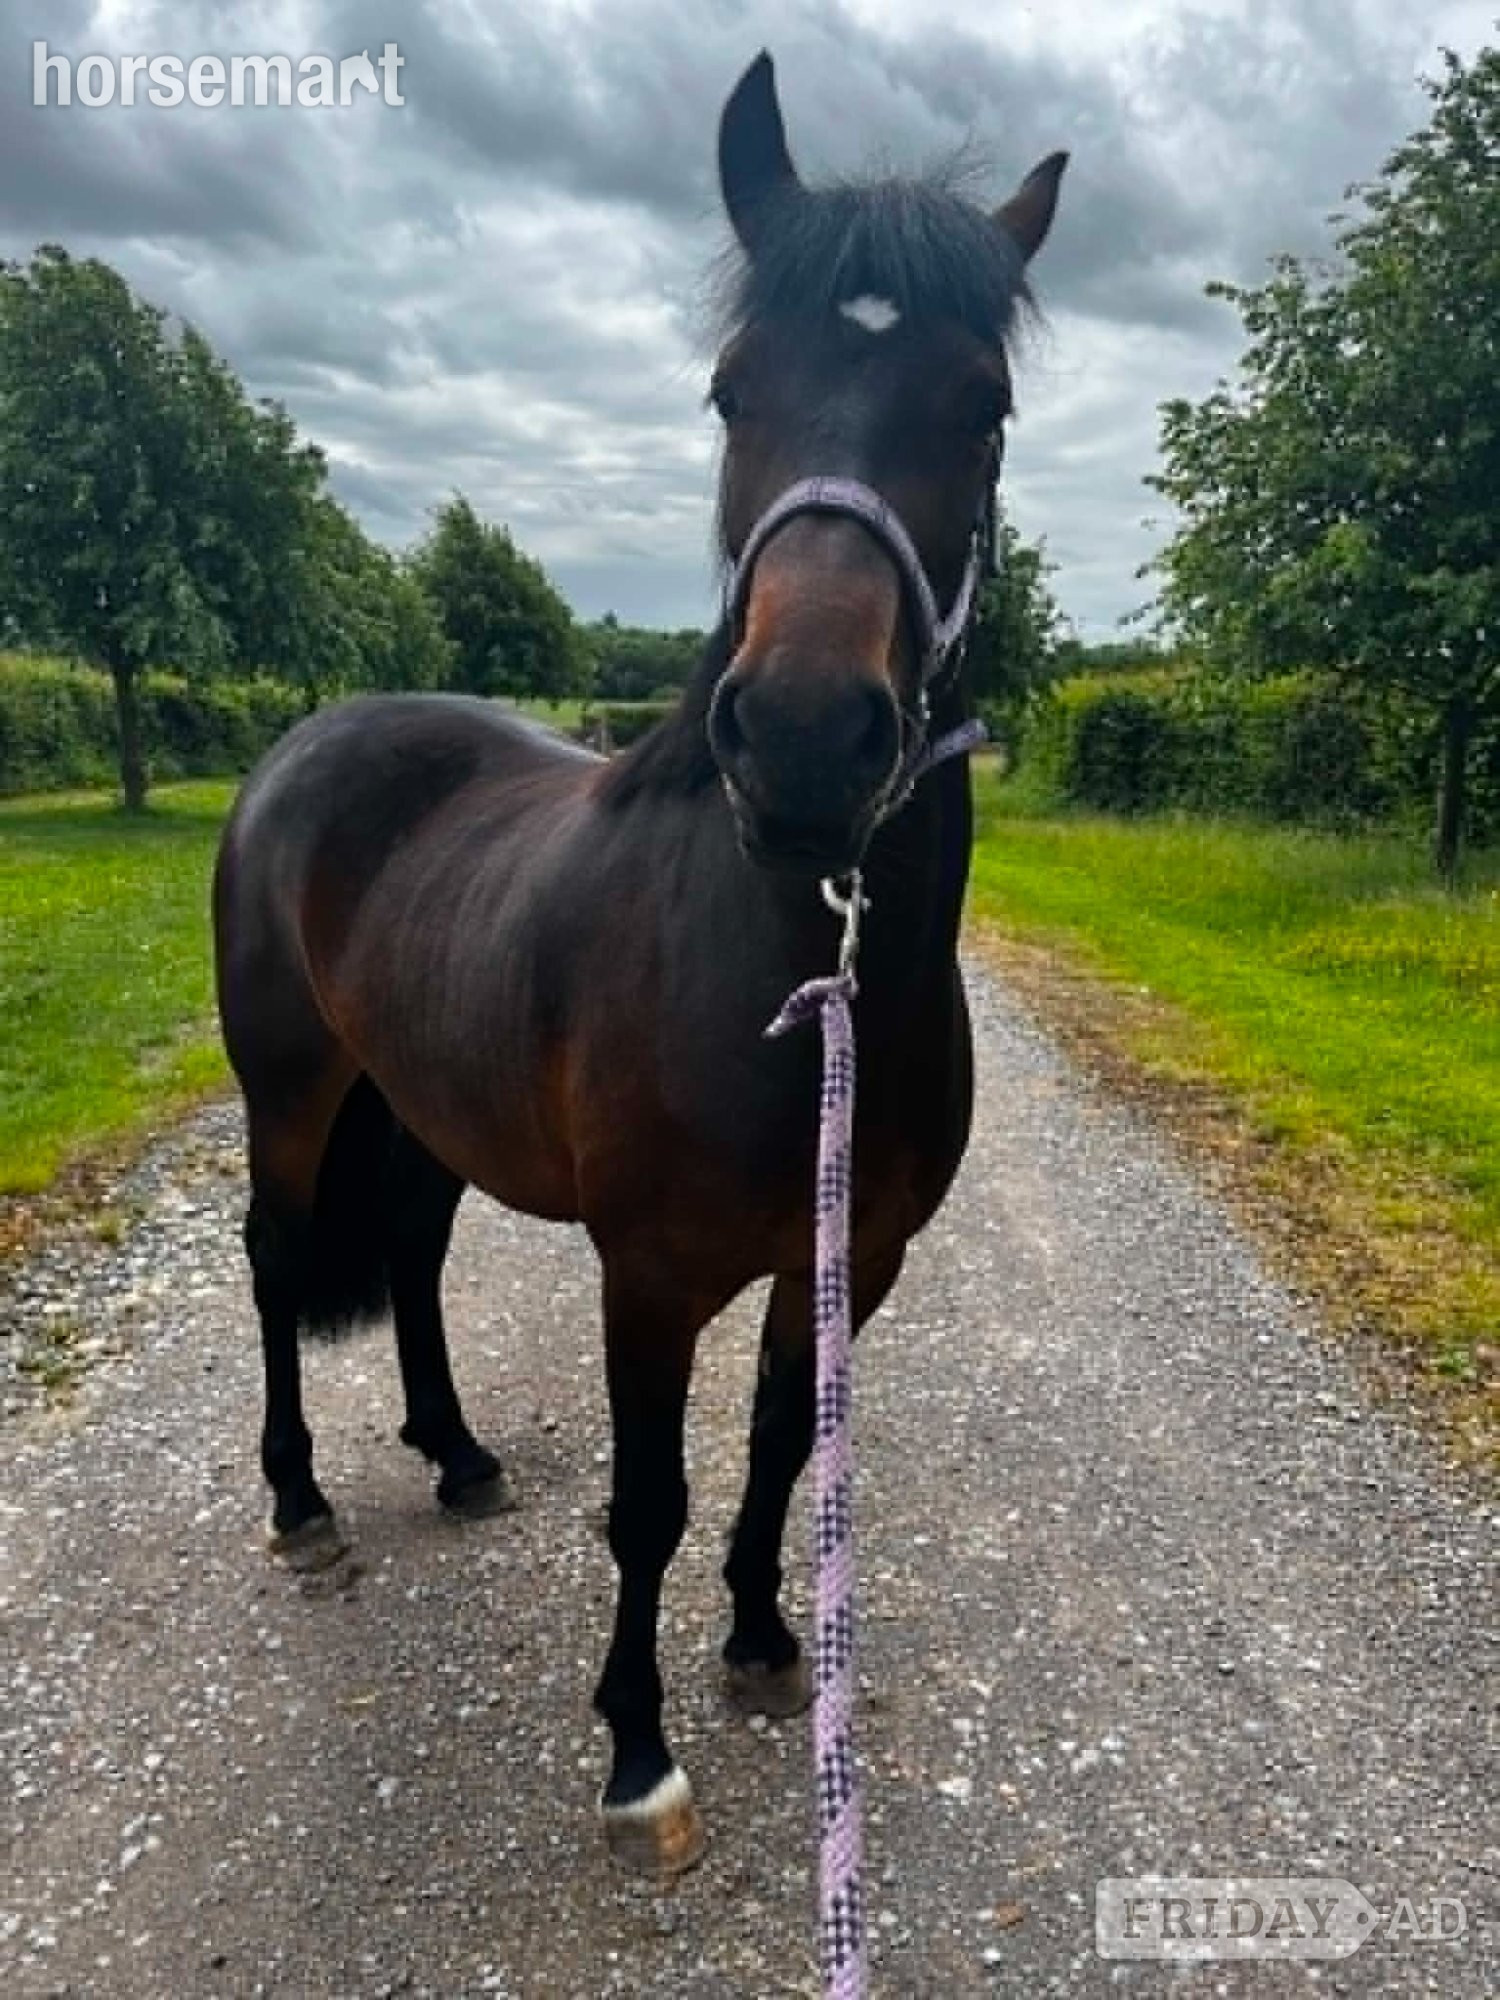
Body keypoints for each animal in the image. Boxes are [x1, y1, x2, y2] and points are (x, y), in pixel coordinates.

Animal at [213, 50, 1064, 1877]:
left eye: (984, 409)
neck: (785, 966)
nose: (806, 735)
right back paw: (302, 1502)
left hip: (422, 1099)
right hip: (293, 1093)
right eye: (733, 392)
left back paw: (457, 1454)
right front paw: (635, 1748)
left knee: (409, 1249)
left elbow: (779, 1446)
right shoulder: (650, 1276)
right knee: (274, 1260)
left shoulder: (847, 1257)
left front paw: (758, 1635)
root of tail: (304, 742)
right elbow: (651, 1498)